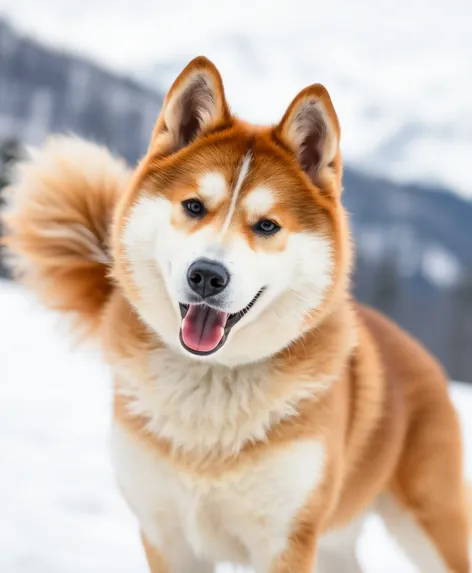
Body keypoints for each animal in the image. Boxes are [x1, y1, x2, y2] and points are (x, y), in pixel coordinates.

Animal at [2, 54, 468, 572]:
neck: (212, 383)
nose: (207, 275)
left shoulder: (285, 542)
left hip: (431, 524)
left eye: (267, 226)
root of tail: (414, 350)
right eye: (193, 205)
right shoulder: (167, 536)